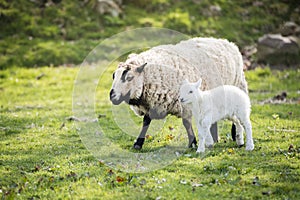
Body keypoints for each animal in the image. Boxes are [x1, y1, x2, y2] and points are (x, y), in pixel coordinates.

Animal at [108, 37, 248, 150]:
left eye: (129, 77)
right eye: (113, 76)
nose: (112, 96)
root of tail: (227, 42)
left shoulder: (184, 104)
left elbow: (186, 123)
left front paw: (193, 143)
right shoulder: (151, 104)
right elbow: (146, 122)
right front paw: (138, 143)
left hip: (237, 85)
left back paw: (235, 135)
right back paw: (214, 138)